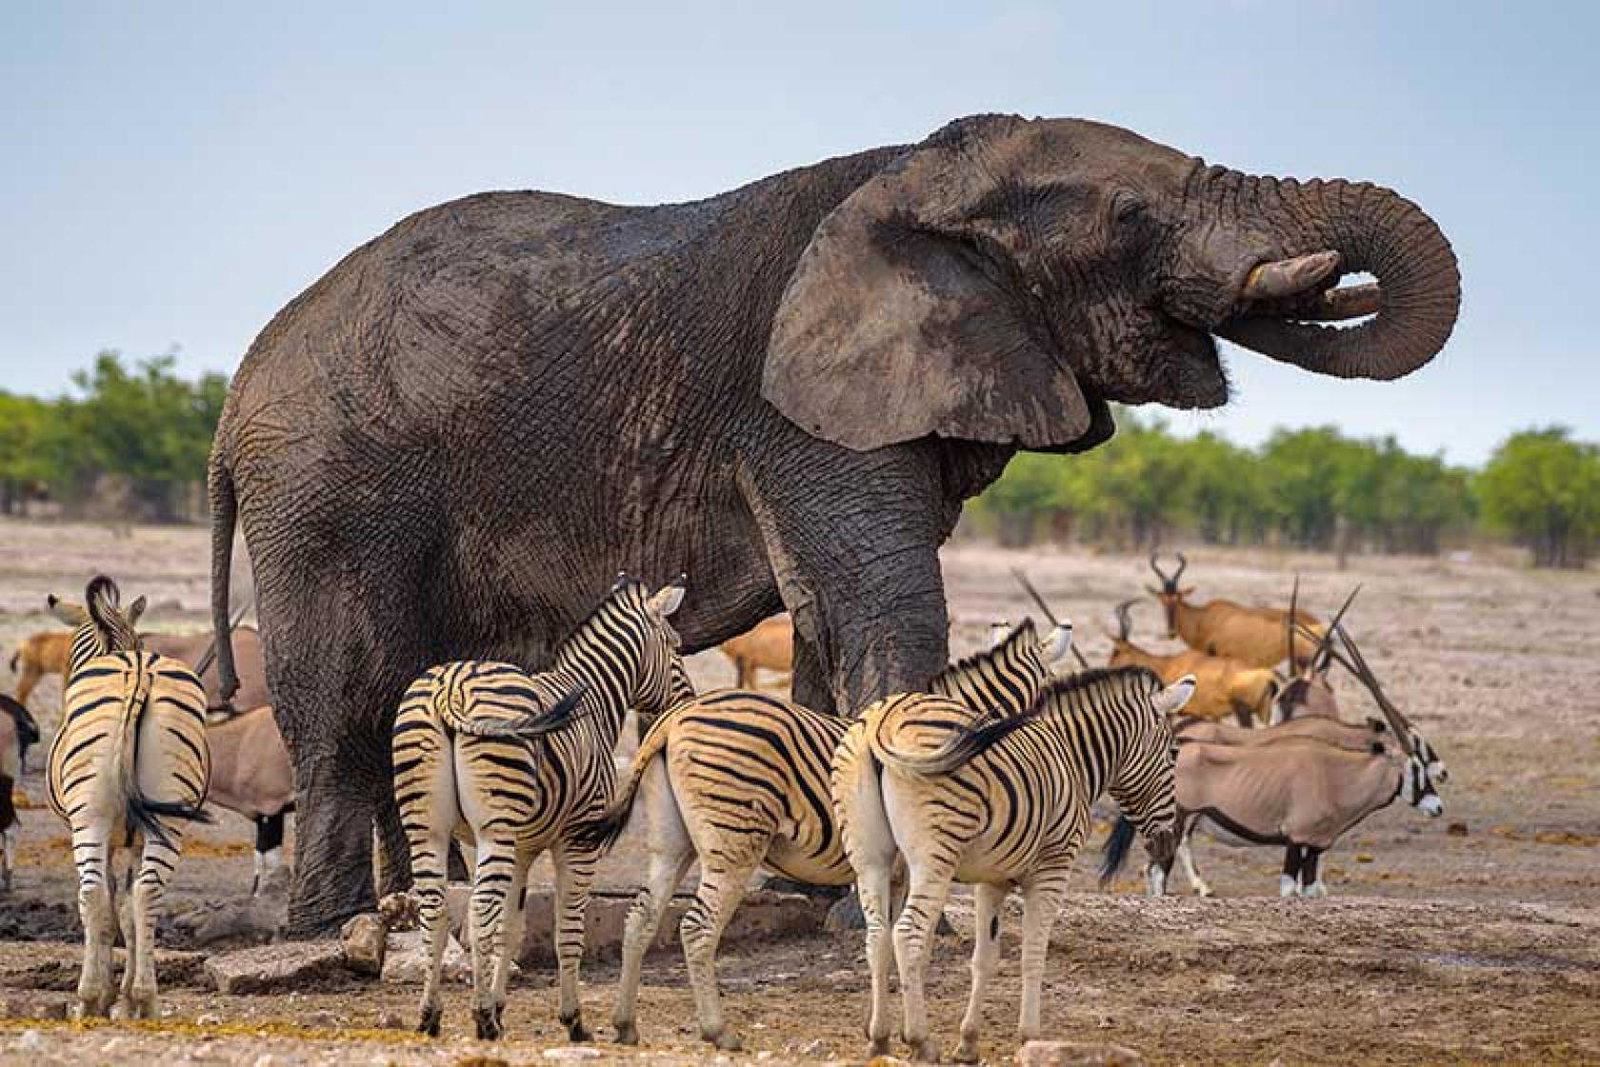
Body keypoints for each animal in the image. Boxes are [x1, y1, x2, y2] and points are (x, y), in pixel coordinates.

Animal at [208, 113, 1459, 935]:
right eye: (1131, 216)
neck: (912, 172)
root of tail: (237, 391)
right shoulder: (798, 411)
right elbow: (881, 607)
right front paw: (892, 902)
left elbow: (826, 616)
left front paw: (813, 889)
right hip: (330, 485)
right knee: (349, 692)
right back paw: (327, 927)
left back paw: (414, 904)